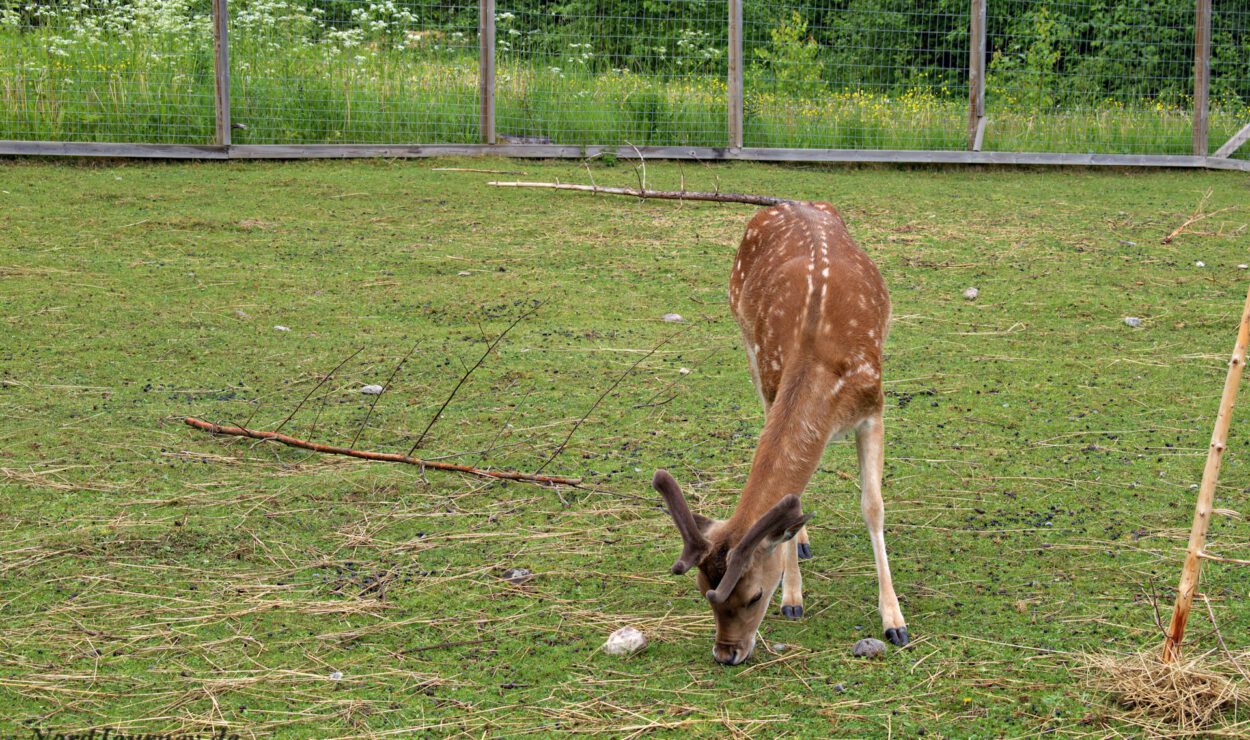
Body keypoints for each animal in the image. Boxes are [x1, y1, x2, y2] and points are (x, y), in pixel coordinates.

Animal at [655, 201, 910, 665]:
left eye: (754, 596)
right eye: (702, 591)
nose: (726, 653)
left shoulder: (874, 407)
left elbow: (873, 506)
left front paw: (894, 621)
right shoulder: (774, 384)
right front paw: (793, 597)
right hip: (750, 349)